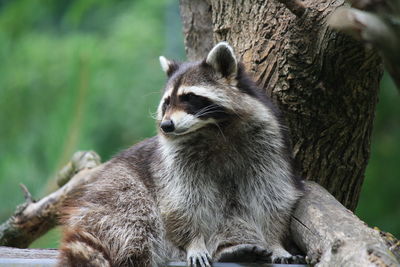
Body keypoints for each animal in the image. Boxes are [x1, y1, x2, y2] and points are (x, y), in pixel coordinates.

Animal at [58, 42, 304, 267]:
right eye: (167, 102)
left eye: (189, 97)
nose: (166, 125)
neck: (213, 128)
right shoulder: (176, 162)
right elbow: (183, 200)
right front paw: (195, 242)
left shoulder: (267, 144)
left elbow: (270, 195)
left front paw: (275, 241)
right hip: (117, 191)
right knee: (136, 218)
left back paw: (230, 248)